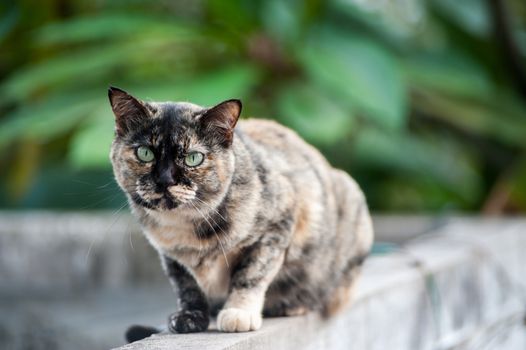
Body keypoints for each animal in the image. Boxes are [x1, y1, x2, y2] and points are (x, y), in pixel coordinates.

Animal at [108, 87, 376, 342]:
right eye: (145, 153)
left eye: (194, 158)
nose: (165, 180)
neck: (186, 228)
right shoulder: (171, 256)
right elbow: (187, 286)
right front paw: (190, 317)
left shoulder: (278, 225)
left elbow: (250, 274)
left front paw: (238, 312)